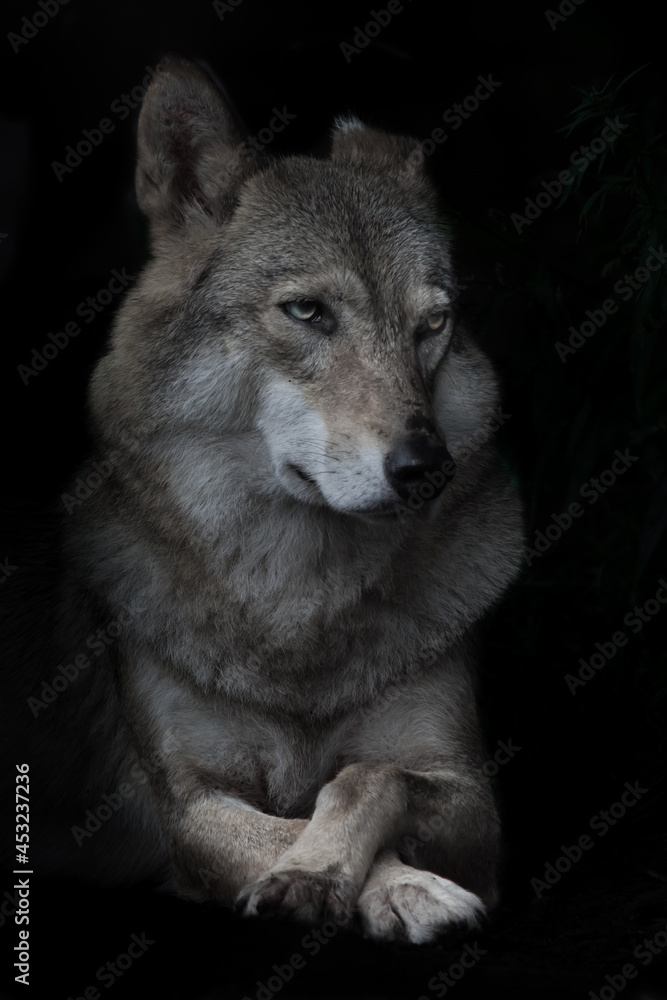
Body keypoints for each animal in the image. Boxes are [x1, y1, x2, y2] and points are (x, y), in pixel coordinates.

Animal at [4, 55, 524, 944]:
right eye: (308, 312)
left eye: (431, 325)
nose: (426, 466)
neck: (295, 610)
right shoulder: (187, 806)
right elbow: (277, 828)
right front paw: (327, 877)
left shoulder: (467, 791)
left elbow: (363, 776)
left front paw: (370, 879)